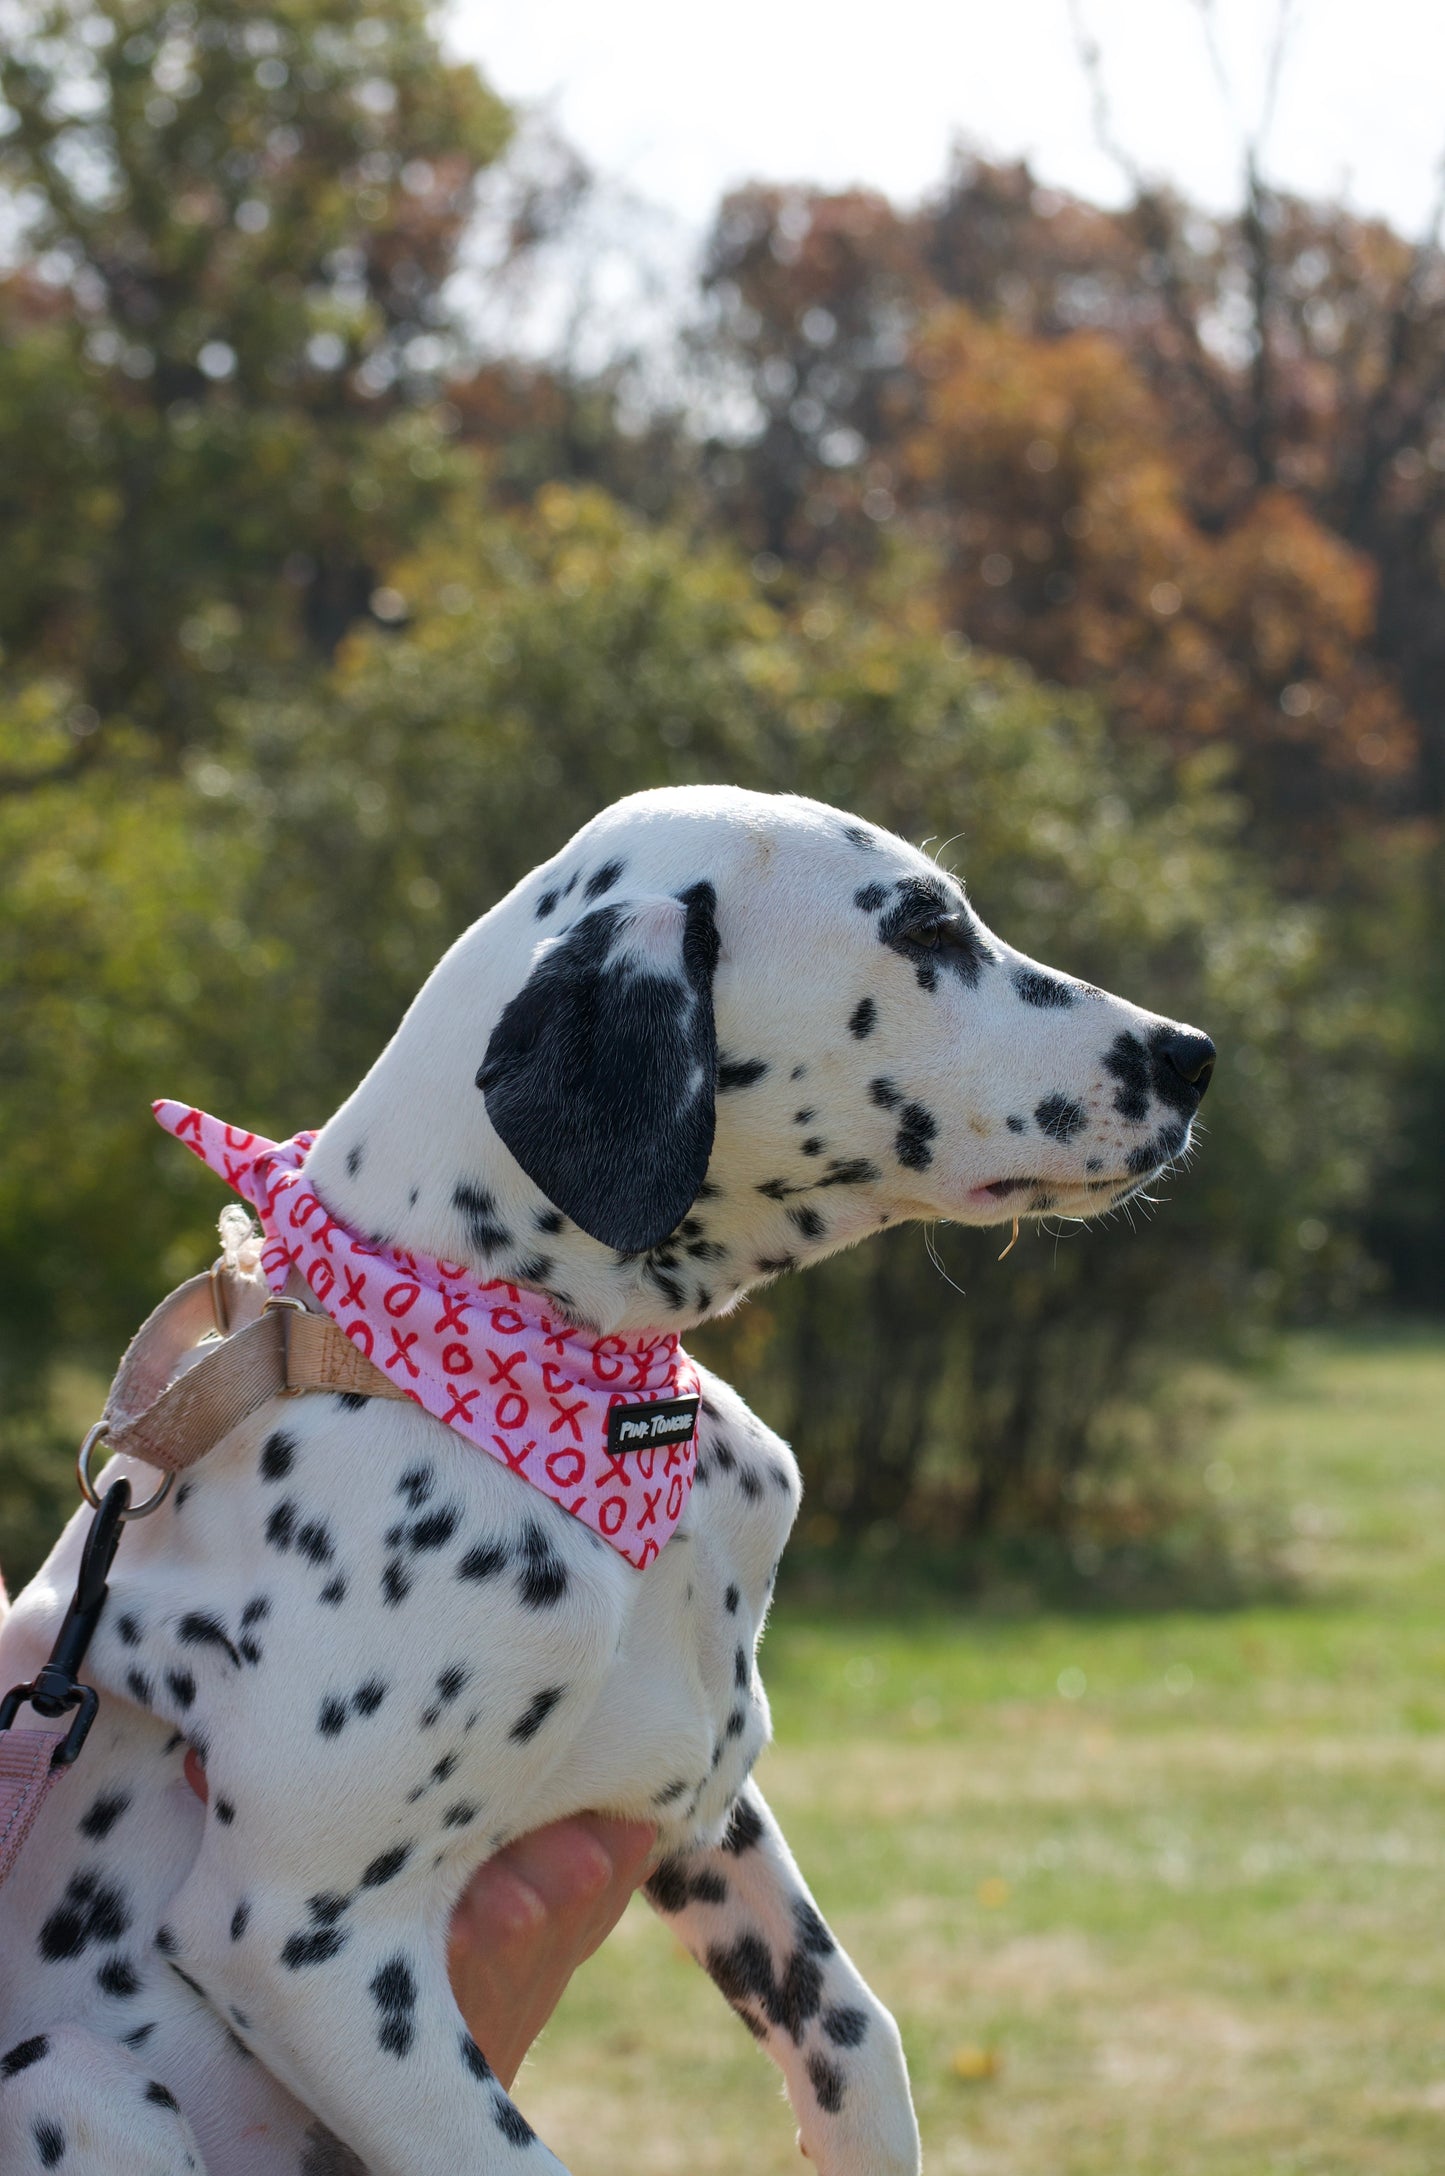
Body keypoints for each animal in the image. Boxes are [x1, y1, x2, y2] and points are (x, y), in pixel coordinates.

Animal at [0, 783, 1218, 2176]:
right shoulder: (303, 1938)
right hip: (74, 2074)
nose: (1192, 1054)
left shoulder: (703, 1806)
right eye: (922, 927)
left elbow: (861, 2043)